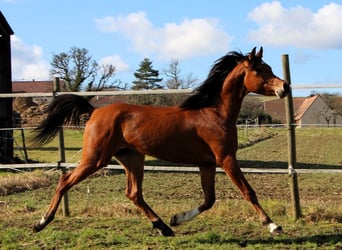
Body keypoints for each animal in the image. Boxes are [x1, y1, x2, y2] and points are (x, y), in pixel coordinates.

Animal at [32, 47, 288, 236]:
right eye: (261, 69)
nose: (284, 86)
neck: (214, 112)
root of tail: (94, 111)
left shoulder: (207, 163)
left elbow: (209, 199)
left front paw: (177, 219)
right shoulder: (225, 158)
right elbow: (248, 191)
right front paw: (273, 225)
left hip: (132, 158)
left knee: (134, 193)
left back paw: (163, 227)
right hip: (95, 158)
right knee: (65, 181)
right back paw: (41, 222)